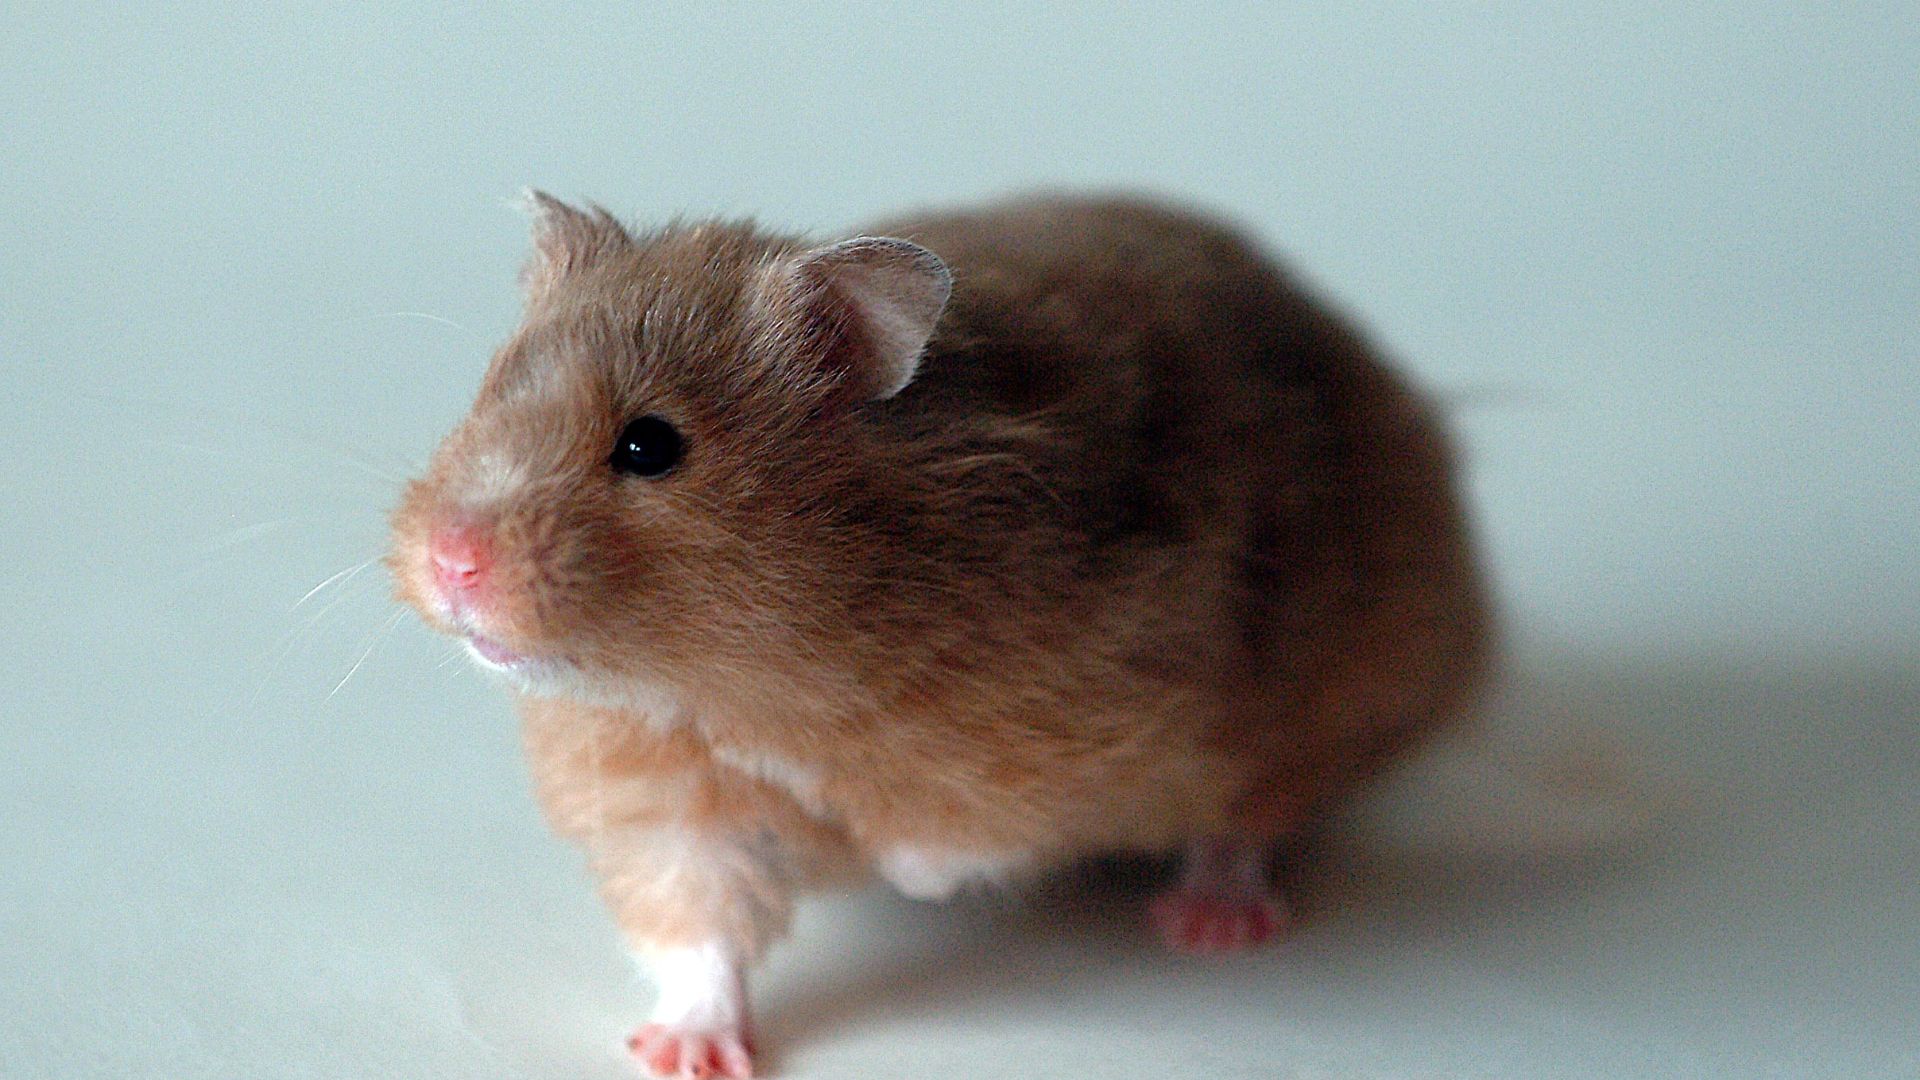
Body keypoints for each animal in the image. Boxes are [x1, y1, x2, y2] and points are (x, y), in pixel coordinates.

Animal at [388, 191, 1490, 1079]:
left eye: (650, 446)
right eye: (484, 394)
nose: (451, 562)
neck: (741, 679)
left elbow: (958, 832)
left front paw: (910, 871)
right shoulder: (669, 805)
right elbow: (700, 933)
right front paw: (682, 1058)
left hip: (1338, 674)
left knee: (1253, 814)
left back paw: (1211, 927)